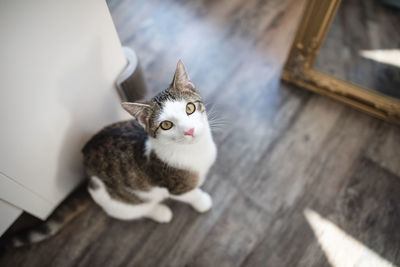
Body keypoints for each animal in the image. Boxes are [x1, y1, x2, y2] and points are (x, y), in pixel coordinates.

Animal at [82, 60, 217, 224]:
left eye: (189, 108)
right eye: (166, 125)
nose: (189, 130)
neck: (195, 149)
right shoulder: (176, 187)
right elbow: (191, 194)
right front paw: (202, 201)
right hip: (112, 199)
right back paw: (160, 212)